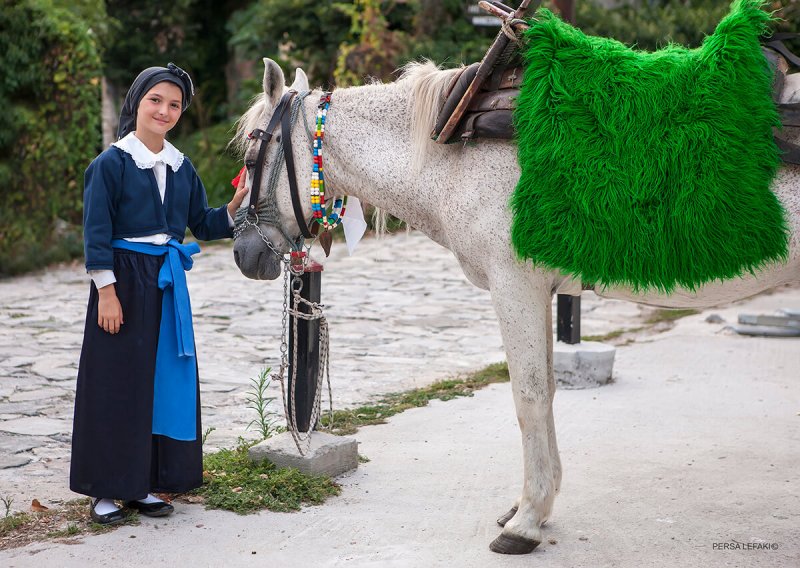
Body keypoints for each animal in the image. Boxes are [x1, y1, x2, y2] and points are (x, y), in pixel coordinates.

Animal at [233, 58, 800, 556]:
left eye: (249, 157)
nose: (241, 252)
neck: (453, 151)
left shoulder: (515, 285)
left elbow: (528, 397)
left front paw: (526, 522)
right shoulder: (537, 291)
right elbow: (545, 390)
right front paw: (536, 505)